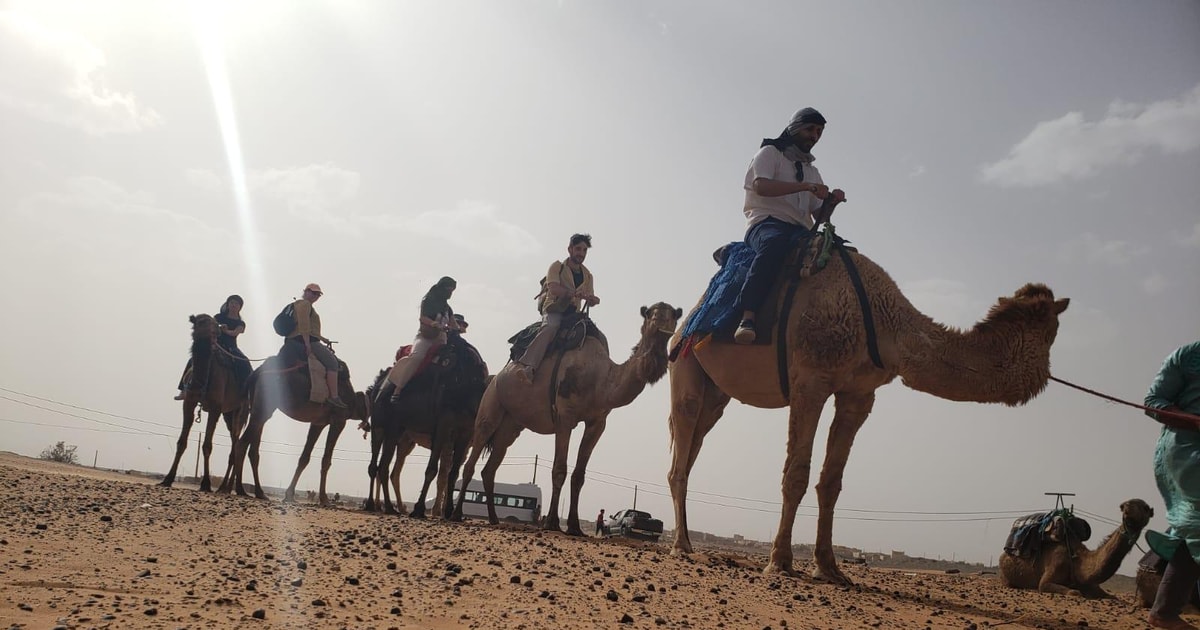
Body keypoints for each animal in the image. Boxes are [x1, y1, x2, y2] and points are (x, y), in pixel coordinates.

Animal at [162, 314, 243, 492]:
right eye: (200, 321)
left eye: (215, 323)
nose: (217, 331)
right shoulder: (189, 402)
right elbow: (181, 442)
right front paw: (167, 478)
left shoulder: (216, 408)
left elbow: (207, 446)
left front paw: (205, 483)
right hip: (228, 413)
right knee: (235, 442)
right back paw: (225, 487)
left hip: (239, 410)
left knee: (236, 441)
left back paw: (227, 488)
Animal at [216, 348, 364, 506]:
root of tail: (258, 371)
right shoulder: (339, 420)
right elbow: (326, 460)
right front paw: (324, 499)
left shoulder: (318, 423)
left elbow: (304, 458)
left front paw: (289, 495)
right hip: (264, 406)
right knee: (242, 443)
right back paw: (240, 489)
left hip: (259, 409)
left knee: (252, 448)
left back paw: (258, 492)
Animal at [451, 302, 681, 532]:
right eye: (650, 314)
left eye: (674, 315)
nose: (662, 323)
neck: (599, 379)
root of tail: (497, 376)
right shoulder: (564, 417)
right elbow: (559, 469)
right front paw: (552, 522)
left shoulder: (597, 422)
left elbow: (579, 474)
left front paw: (574, 526)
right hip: (492, 402)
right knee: (473, 457)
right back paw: (456, 514)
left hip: (511, 424)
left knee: (491, 466)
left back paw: (493, 518)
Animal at [667, 240, 1070, 580]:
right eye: (1052, 328)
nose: (1047, 372)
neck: (883, 323)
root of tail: (684, 323)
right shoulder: (811, 380)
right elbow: (796, 475)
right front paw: (780, 562)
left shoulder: (859, 394)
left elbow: (832, 482)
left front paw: (828, 567)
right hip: (683, 362)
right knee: (681, 447)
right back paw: (681, 545)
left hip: (716, 393)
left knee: (693, 445)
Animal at [993, 499, 1152, 597]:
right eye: (1125, 506)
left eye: (1144, 507)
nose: (1126, 507)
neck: (1077, 558)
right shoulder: (1050, 574)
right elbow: (1072, 592)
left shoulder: (1090, 585)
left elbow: (1111, 596)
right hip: (1004, 576)